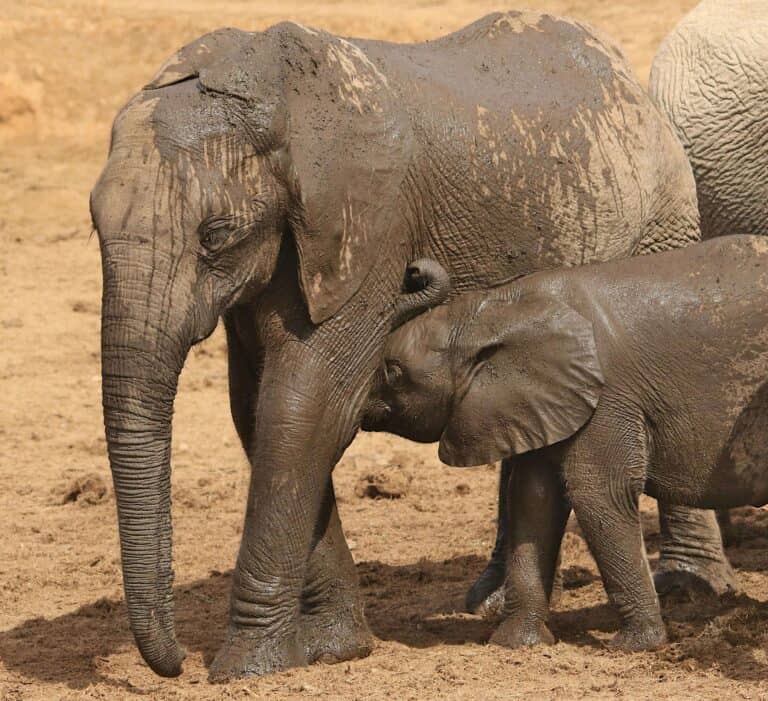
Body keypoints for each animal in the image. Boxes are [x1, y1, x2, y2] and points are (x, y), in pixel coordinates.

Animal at [90, 10, 726, 679]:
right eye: (92, 225)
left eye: (216, 235)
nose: (174, 664)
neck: (274, 101)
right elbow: (260, 412)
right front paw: (335, 649)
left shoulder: (373, 228)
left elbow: (305, 408)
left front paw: (245, 669)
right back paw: (491, 603)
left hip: (663, 215)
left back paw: (690, 589)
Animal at [362, 235, 768, 650]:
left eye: (392, 372)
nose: (414, 270)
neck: (494, 310)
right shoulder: (540, 401)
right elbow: (534, 499)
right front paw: (514, 644)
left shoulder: (608, 398)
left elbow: (599, 493)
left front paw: (634, 646)